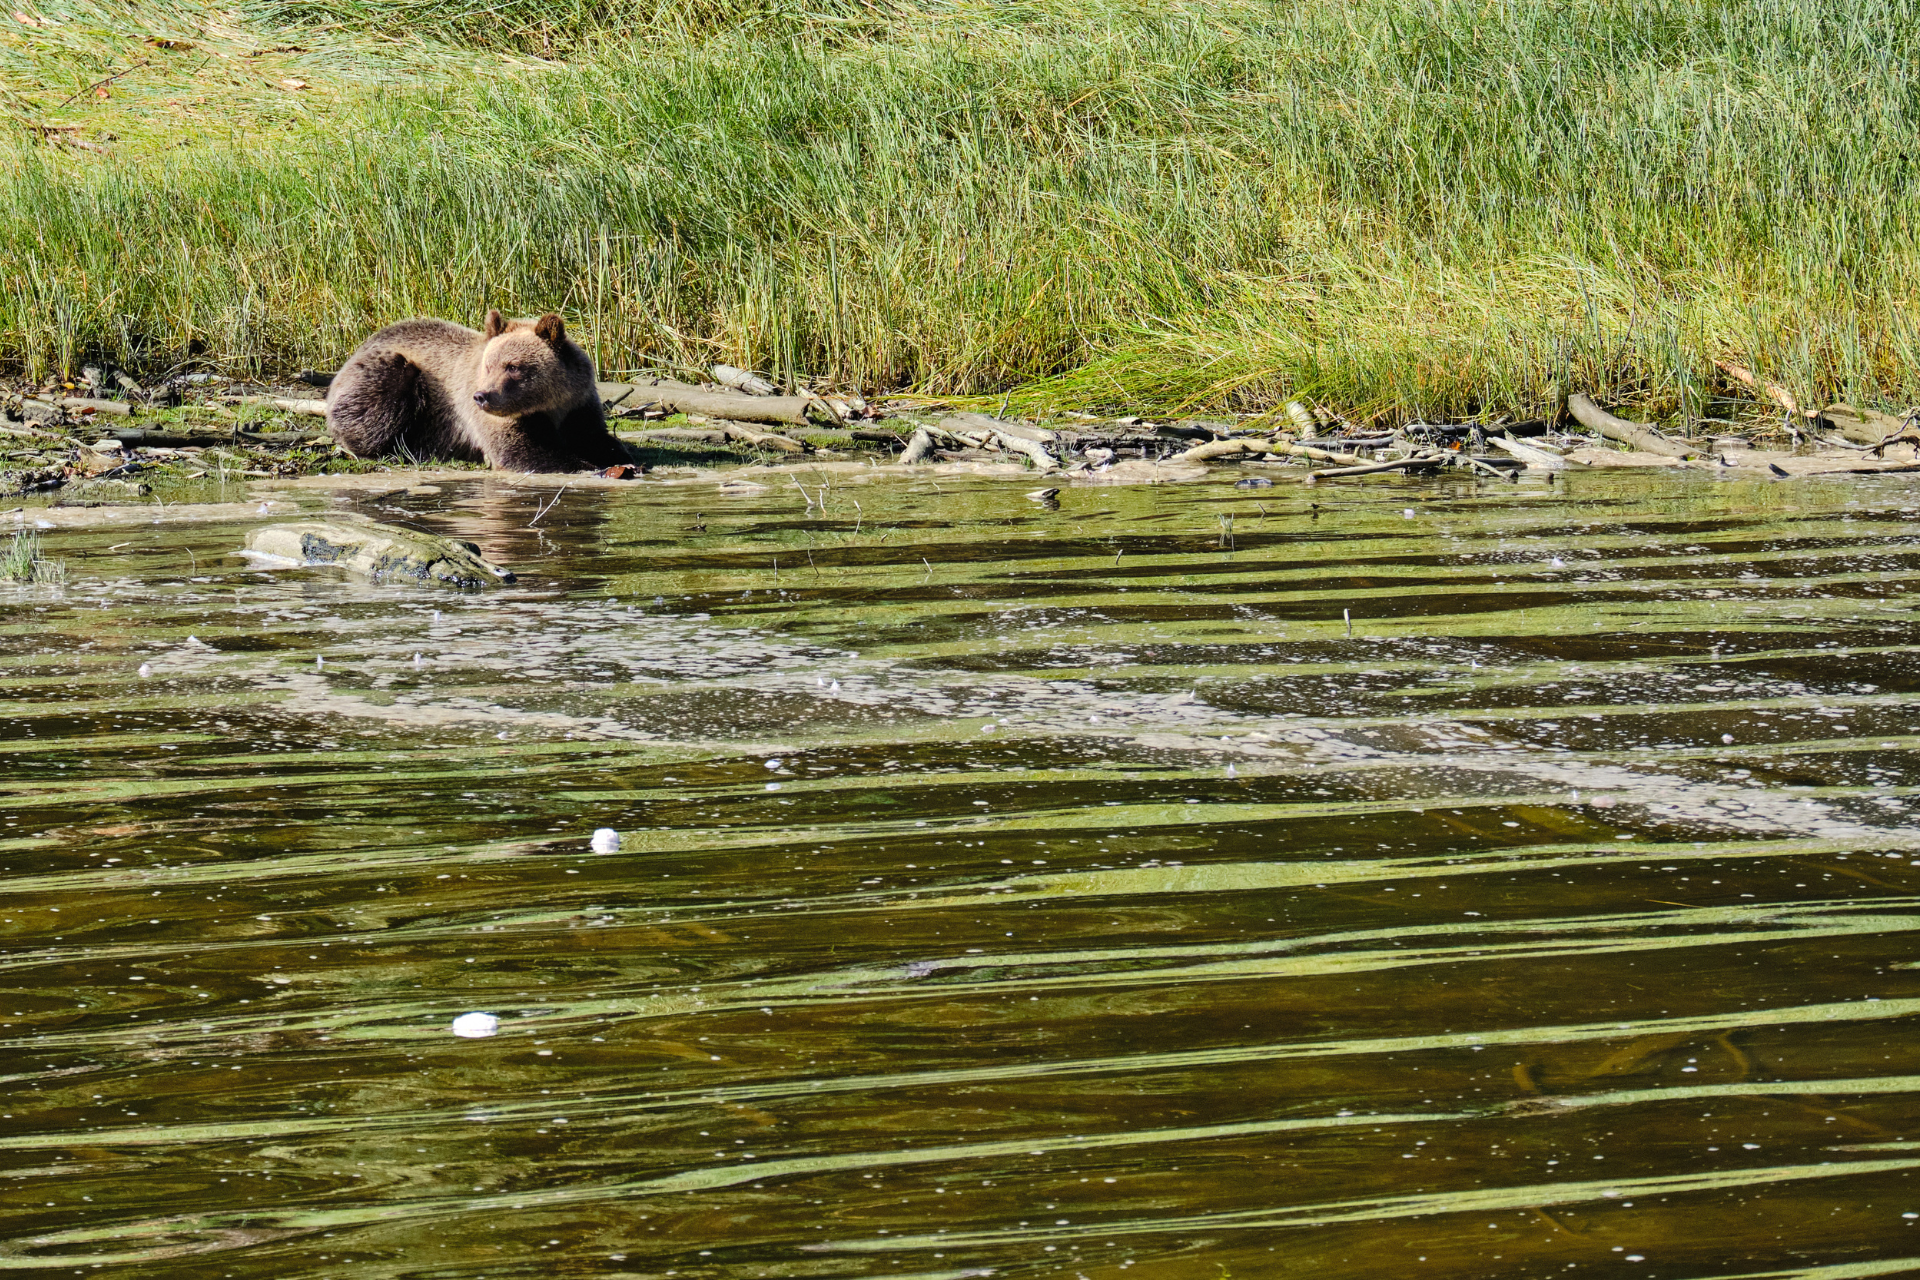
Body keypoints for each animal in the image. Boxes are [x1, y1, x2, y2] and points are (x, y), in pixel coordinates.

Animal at [325, 310, 631, 473]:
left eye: (512, 366)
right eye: (488, 365)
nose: (482, 396)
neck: (548, 405)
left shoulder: (578, 403)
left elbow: (596, 437)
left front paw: (617, 456)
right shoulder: (494, 417)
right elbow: (521, 451)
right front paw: (587, 464)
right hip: (389, 377)